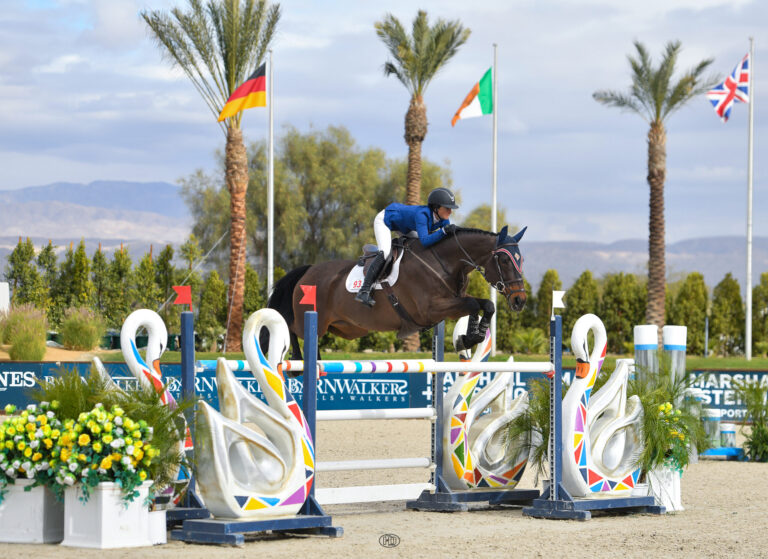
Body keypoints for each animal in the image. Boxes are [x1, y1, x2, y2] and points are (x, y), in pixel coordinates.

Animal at [266, 226, 528, 360]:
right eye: (505, 259)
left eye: (521, 259)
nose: (519, 300)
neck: (442, 261)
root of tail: (308, 270)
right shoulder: (430, 310)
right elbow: (474, 304)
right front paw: (468, 337)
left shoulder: (451, 305)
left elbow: (484, 305)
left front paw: (472, 336)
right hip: (314, 320)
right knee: (292, 327)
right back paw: (297, 361)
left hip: (344, 326)